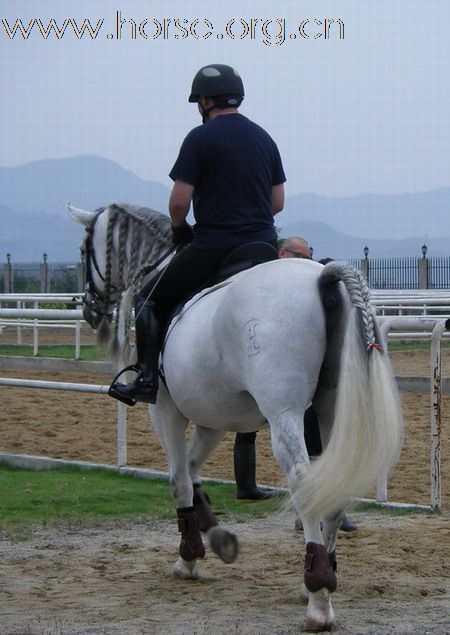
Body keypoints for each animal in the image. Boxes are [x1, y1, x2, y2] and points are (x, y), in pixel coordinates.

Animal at [68, 202, 402, 632]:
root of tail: (322, 276)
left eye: (83, 251)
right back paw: (317, 577)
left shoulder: (166, 410)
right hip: (331, 410)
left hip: (284, 413)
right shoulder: (212, 420)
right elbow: (194, 472)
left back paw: (319, 597)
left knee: (304, 480)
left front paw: (189, 556)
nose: (89, 309)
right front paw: (217, 538)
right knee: (335, 483)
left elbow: (179, 480)